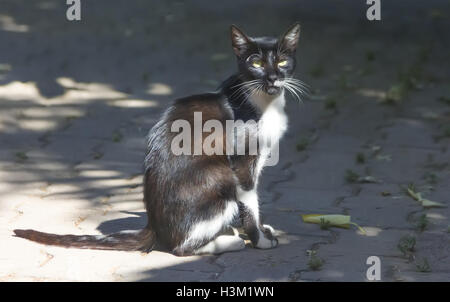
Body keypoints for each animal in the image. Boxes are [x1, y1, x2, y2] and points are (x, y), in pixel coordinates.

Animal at [14, 22, 304, 256]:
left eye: (281, 62)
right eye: (256, 64)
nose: (273, 78)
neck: (263, 103)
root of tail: (152, 226)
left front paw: (261, 230)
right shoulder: (242, 163)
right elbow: (250, 202)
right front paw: (259, 239)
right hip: (220, 179)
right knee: (180, 247)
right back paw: (227, 241)